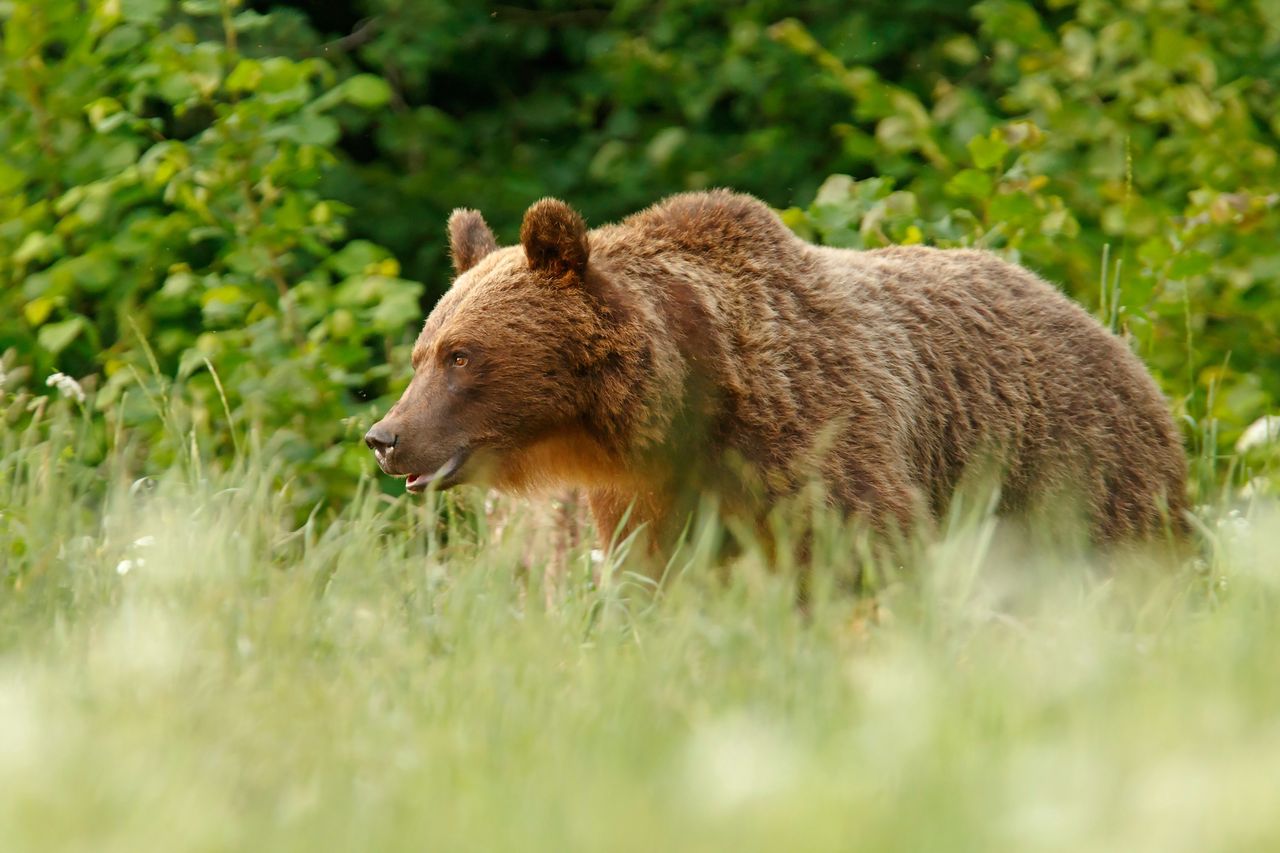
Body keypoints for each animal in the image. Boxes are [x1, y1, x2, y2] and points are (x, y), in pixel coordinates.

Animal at [366, 188, 1182, 558]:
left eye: (462, 355)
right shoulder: (649, 496)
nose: (385, 436)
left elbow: (867, 549)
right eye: (421, 353)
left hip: (1072, 471)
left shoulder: (811, 435)